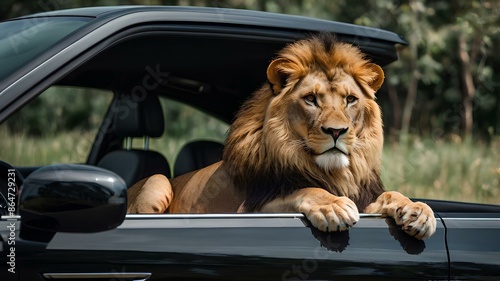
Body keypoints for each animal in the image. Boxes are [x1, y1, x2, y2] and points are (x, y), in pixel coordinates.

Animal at [127, 32, 436, 238]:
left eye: (350, 100)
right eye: (311, 99)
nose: (336, 131)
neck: (332, 172)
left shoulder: (364, 196)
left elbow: (392, 194)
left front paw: (418, 210)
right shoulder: (249, 209)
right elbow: (304, 189)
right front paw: (333, 206)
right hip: (157, 182)